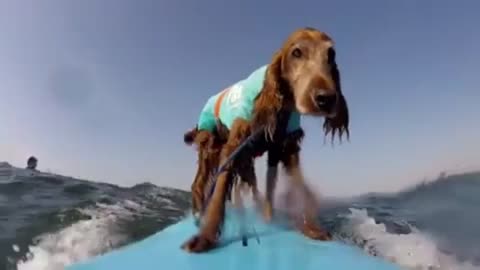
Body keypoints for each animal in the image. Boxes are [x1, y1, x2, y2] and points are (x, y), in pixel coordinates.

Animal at [180, 27, 348, 253]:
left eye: (331, 55)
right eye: (296, 53)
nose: (326, 99)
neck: (280, 106)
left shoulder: (283, 148)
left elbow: (291, 185)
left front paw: (310, 227)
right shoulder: (234, 146)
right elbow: (219, 193)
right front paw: (205, 238)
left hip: (245, 159)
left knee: (252, 185)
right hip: (211, 146)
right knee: (198, 184)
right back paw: (199, 213)